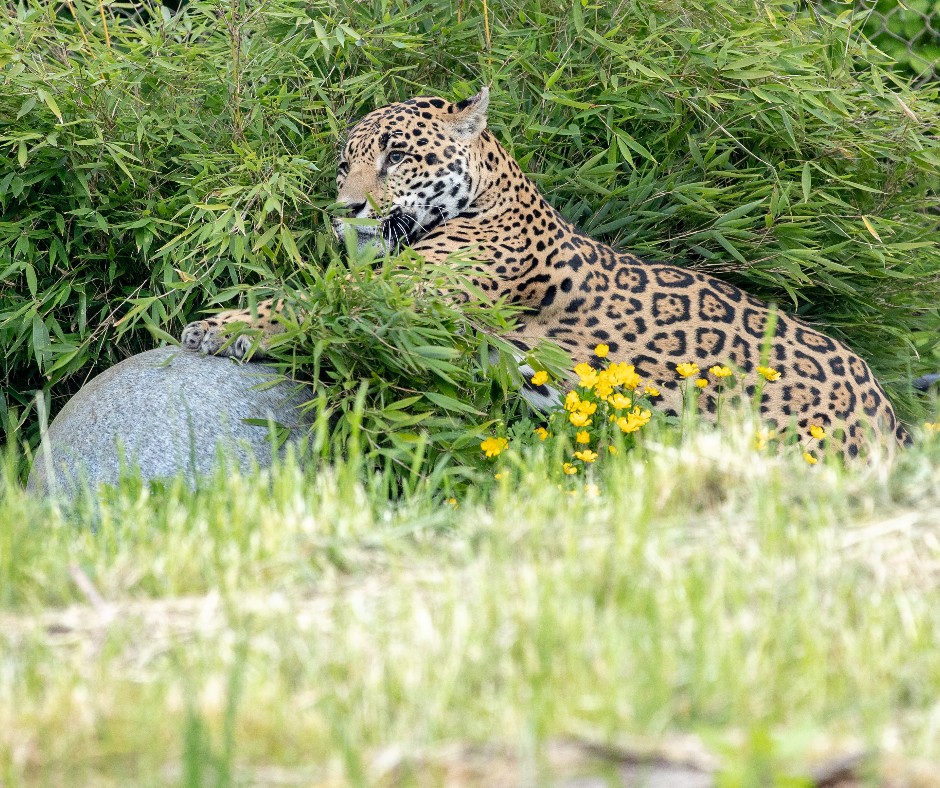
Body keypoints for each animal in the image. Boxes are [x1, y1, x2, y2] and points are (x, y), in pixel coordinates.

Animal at [181, 87, 910, 458]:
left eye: (397, 156)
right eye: (344, 165)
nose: (346, 209)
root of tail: (886, 409)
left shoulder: (405, 297)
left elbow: (303, 300)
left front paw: (222, 326)